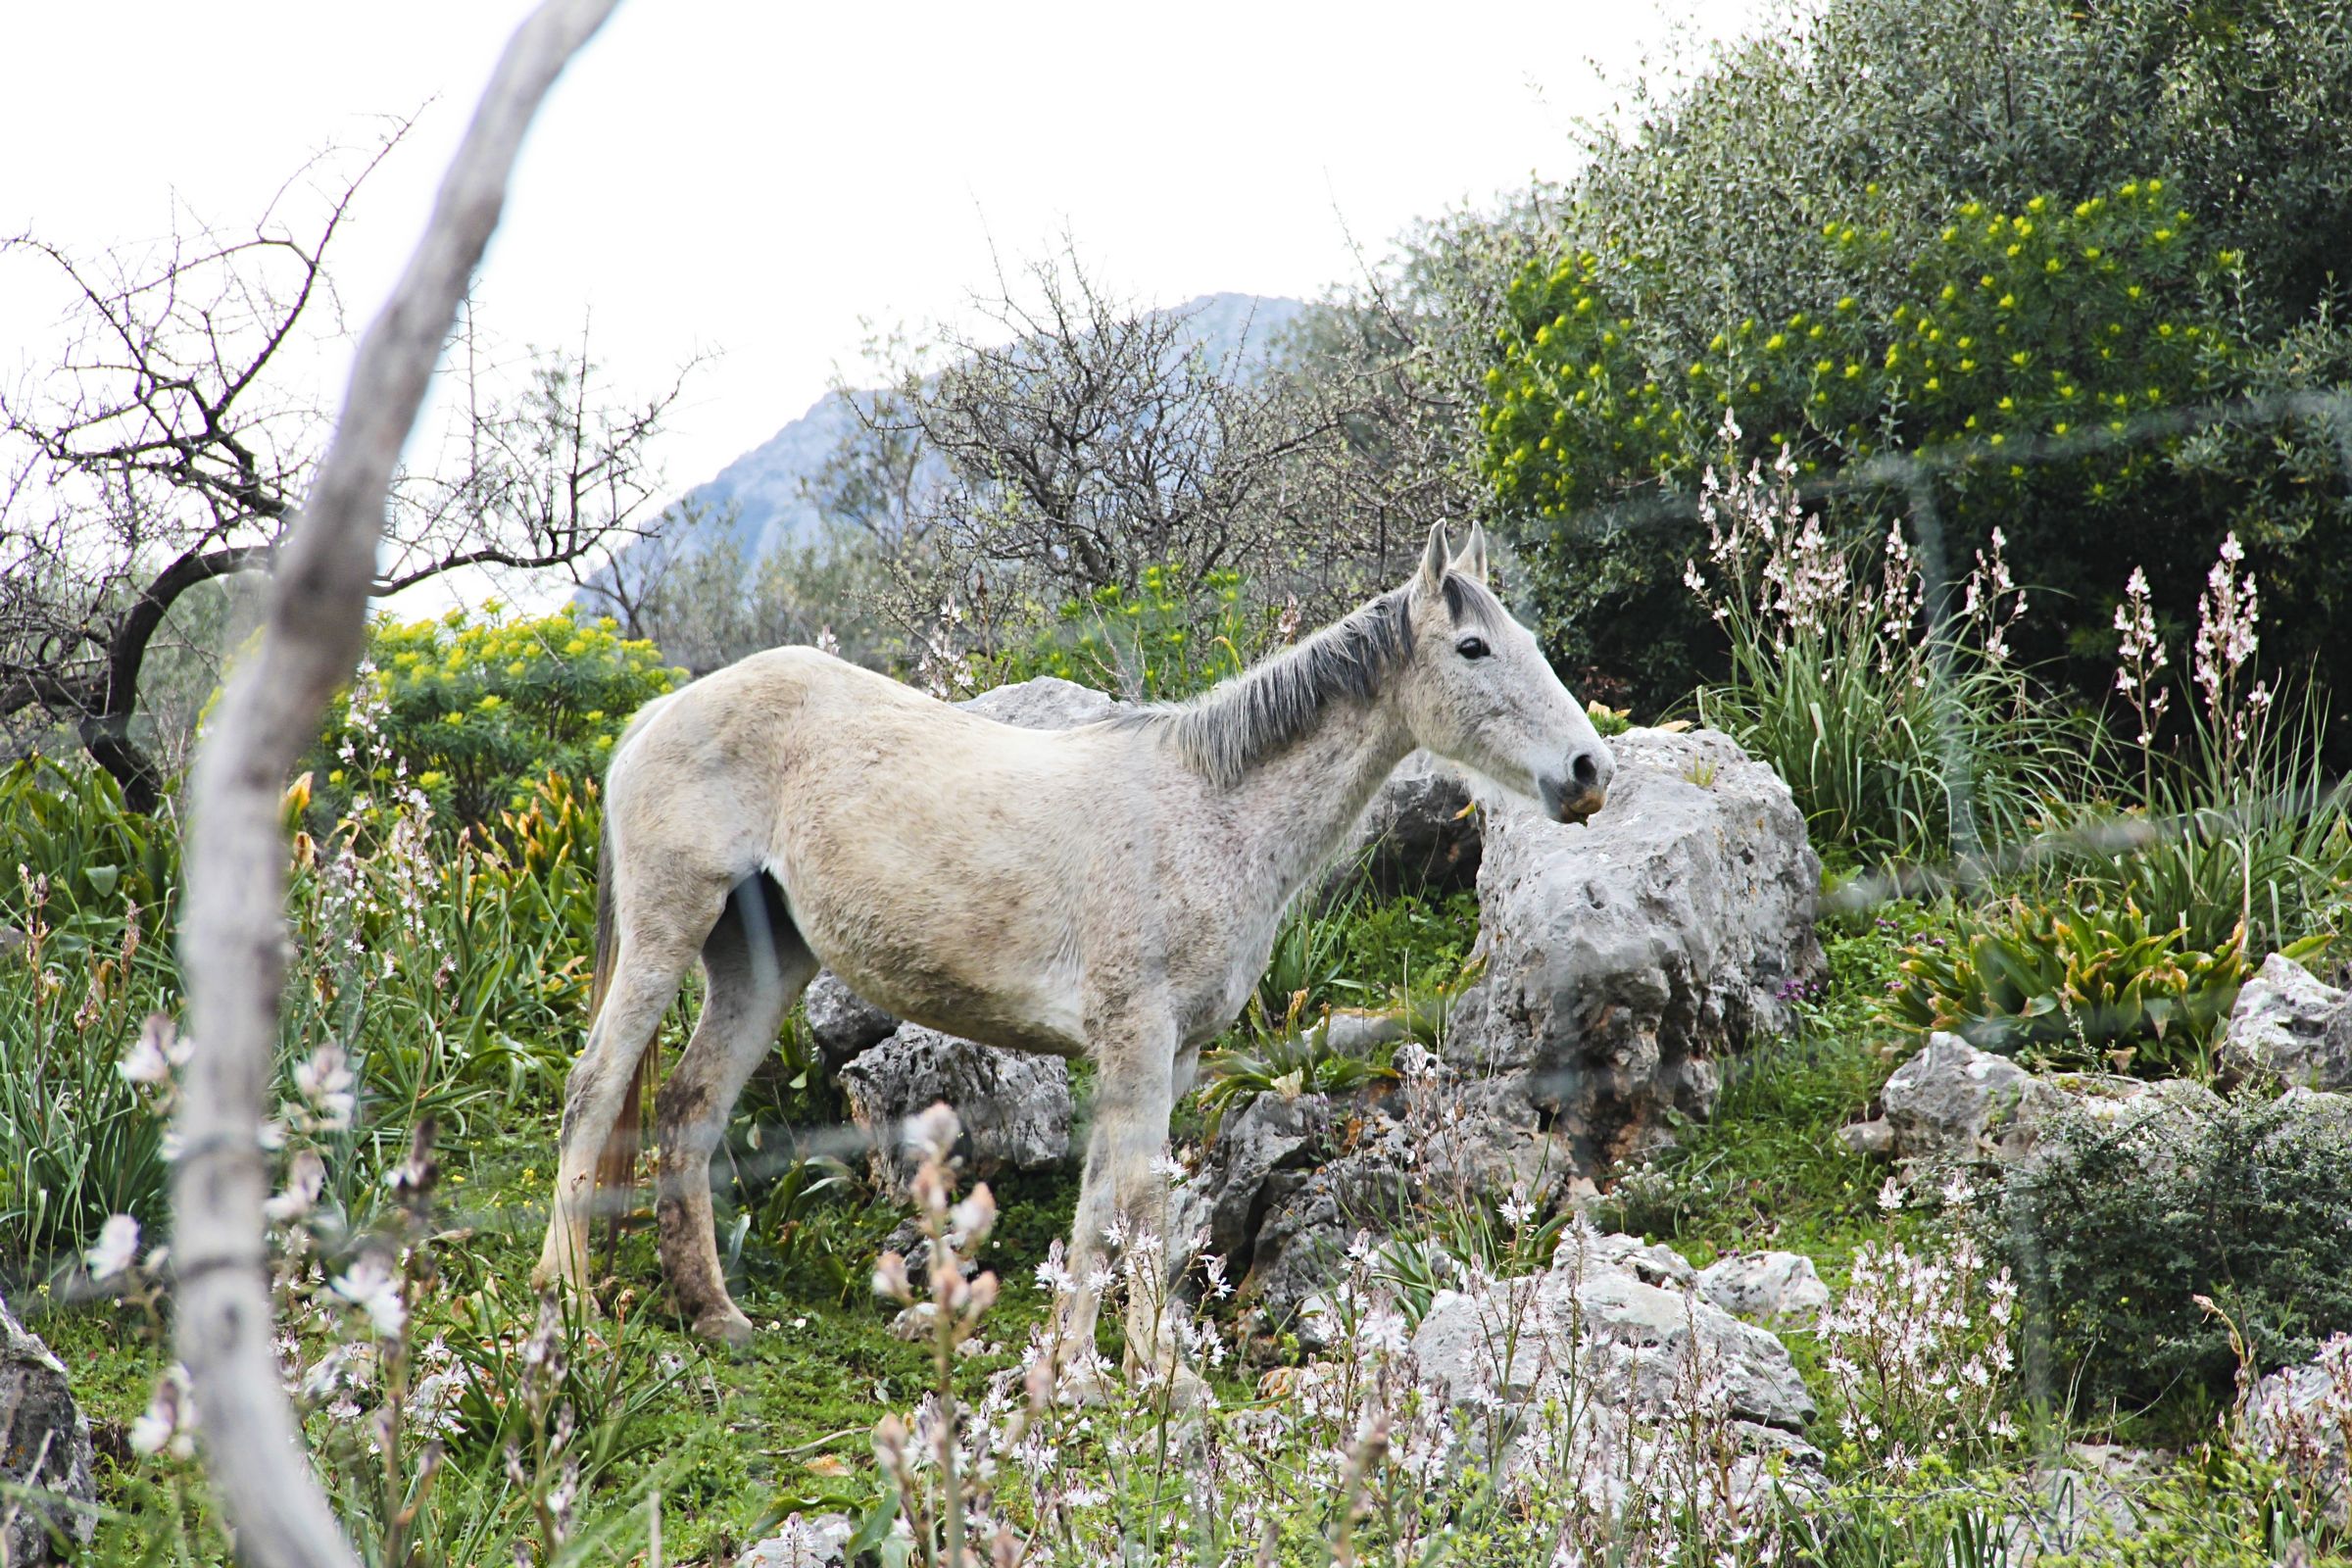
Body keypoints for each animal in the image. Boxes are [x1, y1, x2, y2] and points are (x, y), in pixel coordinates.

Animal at [534, 521, 1614, 1390]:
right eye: (1473, 647)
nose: (1589, 771)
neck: (1208, 808)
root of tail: (658, 716)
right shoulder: (1137, 1036)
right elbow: (1138, 1199)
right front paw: (1155, 1376)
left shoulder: (1169, 1052)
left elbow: (1107, 1200)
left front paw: (1077, 1366)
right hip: (667, 930)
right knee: (595, 1089)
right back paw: (567, 1303)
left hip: (763, 963)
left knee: (690, 1104)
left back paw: (713, 1314)